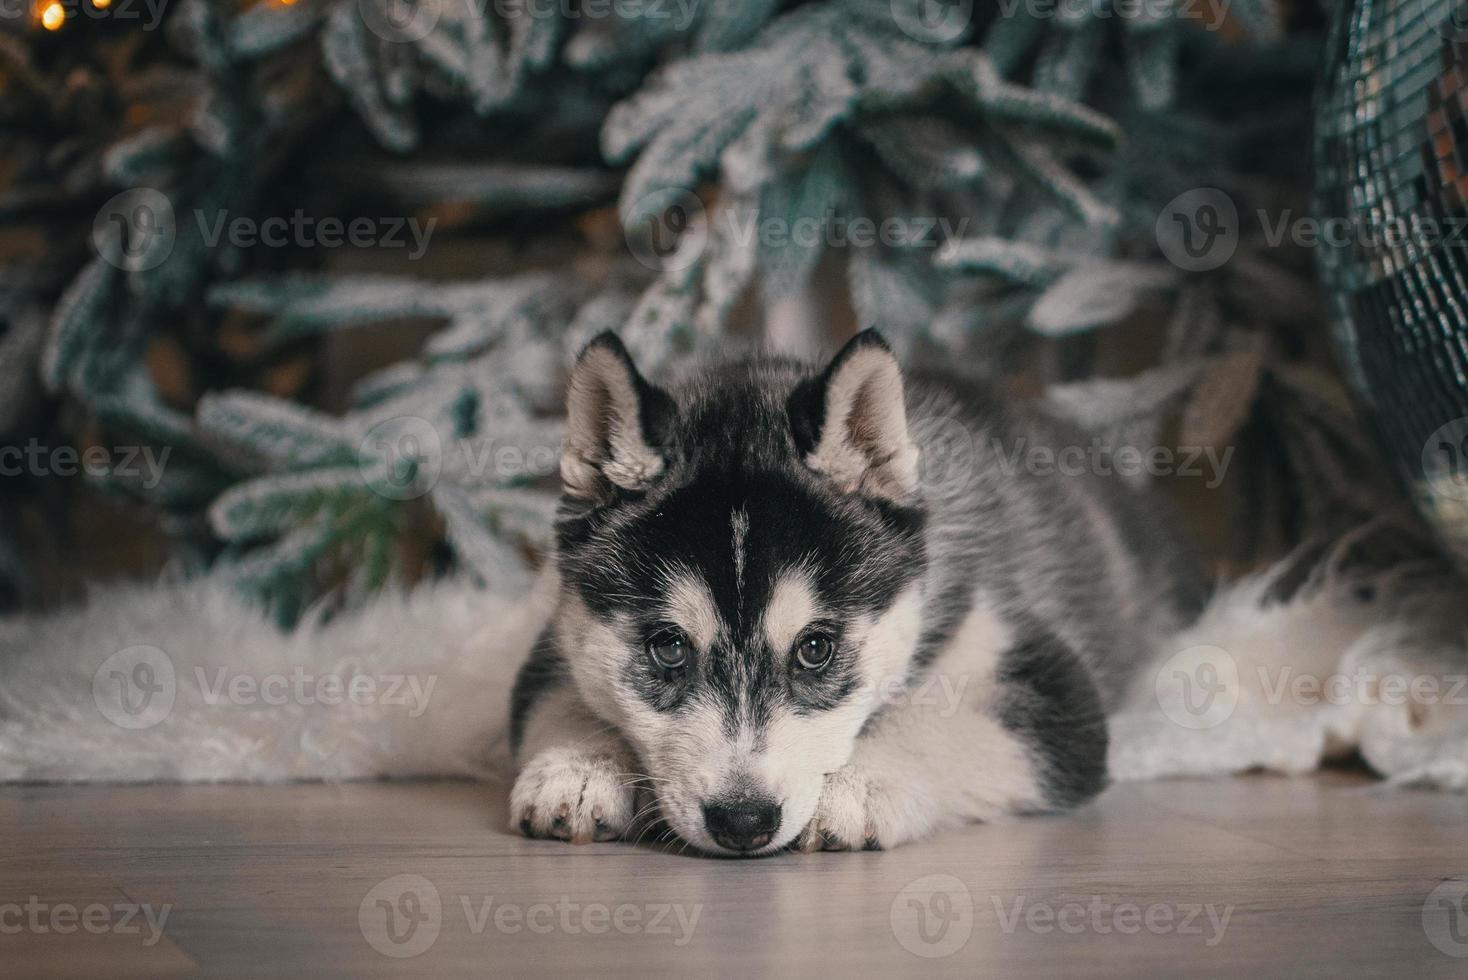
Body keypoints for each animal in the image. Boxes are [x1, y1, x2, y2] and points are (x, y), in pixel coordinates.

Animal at [510, 325, 1197, 850]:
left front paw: (858, 785)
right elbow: (559, 700)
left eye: (816, 648)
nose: (743, 821)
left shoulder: (1048, 687)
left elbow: (933, 719)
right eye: (668, 646)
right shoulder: (555, 642)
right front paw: (577, 768)